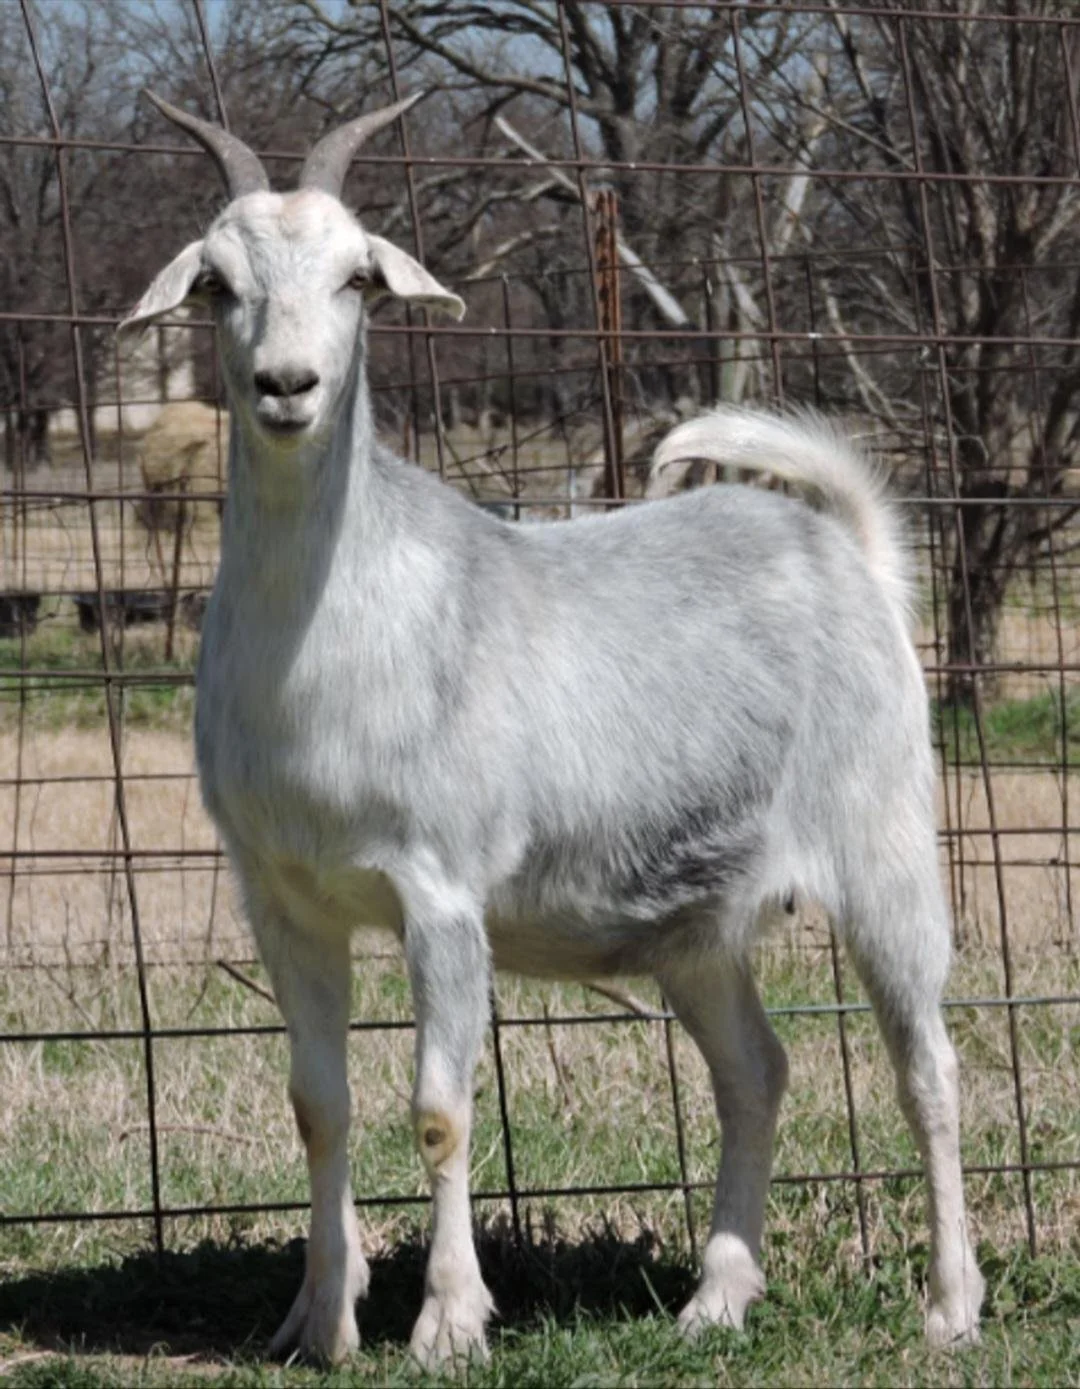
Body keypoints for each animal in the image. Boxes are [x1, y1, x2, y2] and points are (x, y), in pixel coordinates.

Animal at [120, 94, 984, 1367]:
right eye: (218, 284)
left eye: (357, 277)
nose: (286, 386)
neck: (333, 635)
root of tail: (852, 551)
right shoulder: (282, 900)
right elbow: (318, 1108)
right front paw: (318, 1324)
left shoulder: (440, 894)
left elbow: (438, 1111)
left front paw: (446, 1324)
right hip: (697, 923)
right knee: (755, 1071)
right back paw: (717, 1298)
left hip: (884, 847)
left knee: (928, 1069)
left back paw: (949, 1307)